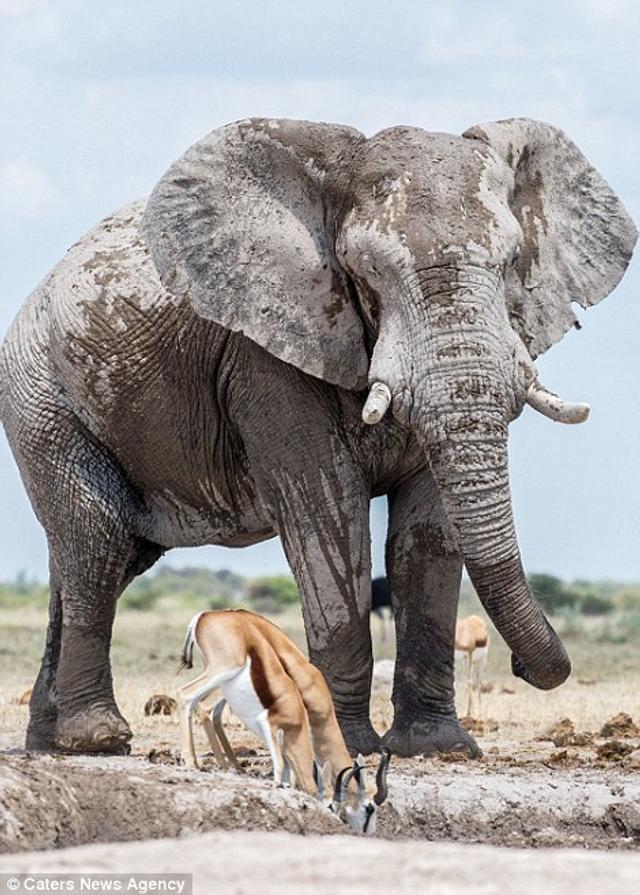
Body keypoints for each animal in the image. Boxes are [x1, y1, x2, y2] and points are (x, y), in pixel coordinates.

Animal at [0, 117, 636, 756]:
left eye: (511, 263)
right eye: (367, 270)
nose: (523, 669)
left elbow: (427, 533)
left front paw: (439, 747)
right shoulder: (266, 357)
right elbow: (330, 512)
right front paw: (351, 747)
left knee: (101, 562)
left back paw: (48, 743)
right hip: (40, 399)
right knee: (98, 546)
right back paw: (98, 739)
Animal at [176, 608, 390, 832]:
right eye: (369, 808)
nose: (368, 832)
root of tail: (203, 616)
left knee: (205, 708)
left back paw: (225, 765)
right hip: (223, 672)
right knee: (189, 698)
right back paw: (193, 763)